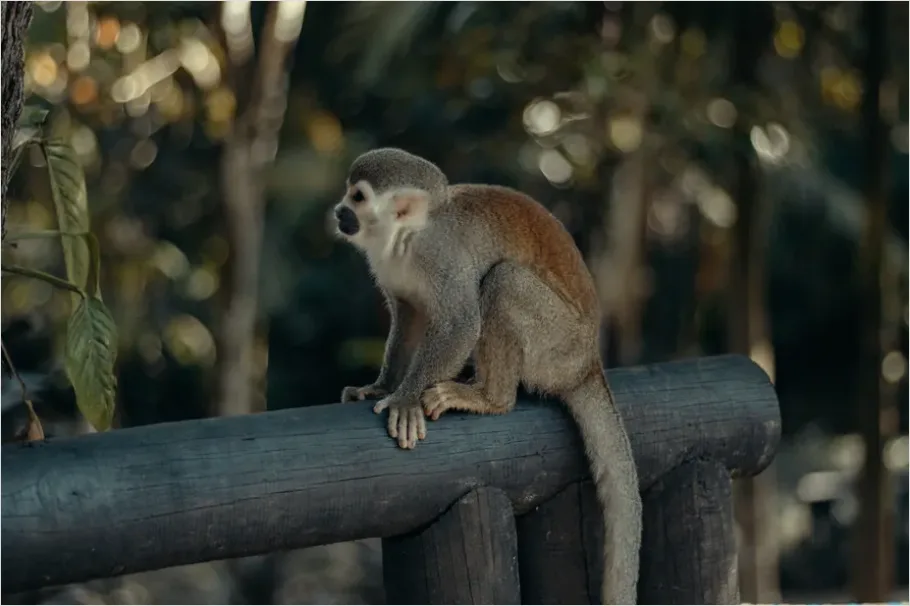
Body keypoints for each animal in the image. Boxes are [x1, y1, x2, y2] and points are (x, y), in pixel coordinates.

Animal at [332, 147, 642, 605]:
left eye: (358, 197)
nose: (339, 211)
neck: (407, 238)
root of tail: (589, 361)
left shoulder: (441, 257)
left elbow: (460, 323)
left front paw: (405, 399)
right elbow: (408, 314)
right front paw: (382, 386)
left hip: (558, 343)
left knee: (503, 280)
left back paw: (491, 398)